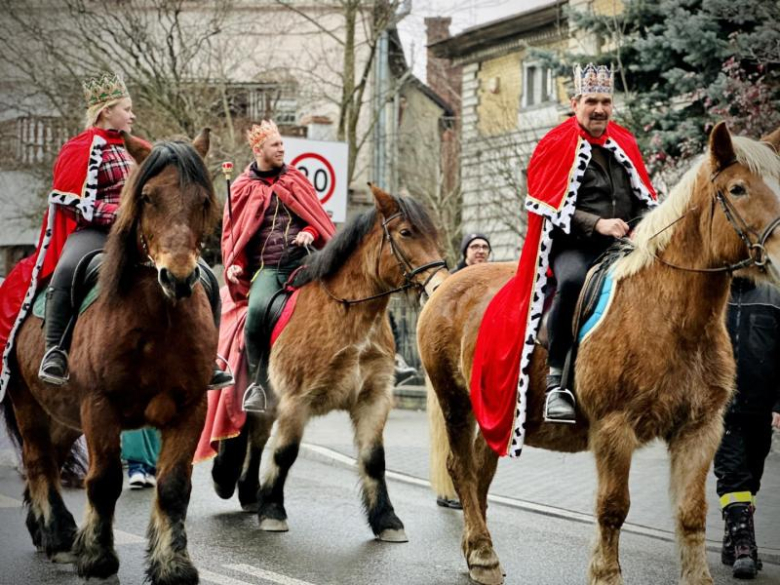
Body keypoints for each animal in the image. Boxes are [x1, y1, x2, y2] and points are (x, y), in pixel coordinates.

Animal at [1, 130, 219, 584]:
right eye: (148, 197)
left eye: (204, 199)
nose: (178, 277)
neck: (159, 322)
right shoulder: (100, 406)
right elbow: (103, 482)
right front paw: (99, 561)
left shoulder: (191, 408)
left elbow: (174, 487)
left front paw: (173, 565)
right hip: (28, 400)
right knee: (38, 459)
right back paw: (55, 535)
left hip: (65, 415)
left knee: (52, 457)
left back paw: (53, 532)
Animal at [212, 185, 450, 540]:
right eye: (406, 232)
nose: (440, 283)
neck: (347, 311)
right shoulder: (296, 401)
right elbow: (285, 453)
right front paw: (273, 510)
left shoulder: (373, 399)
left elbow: (373, 460)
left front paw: (386, 519)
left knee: (257, 437)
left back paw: (250, 492)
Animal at [420, 121, 780, 580]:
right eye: (737, 188)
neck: (669, 314)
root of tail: (446, 285)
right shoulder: (614, 427)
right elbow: (612, 507)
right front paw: (606, 573)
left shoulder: (701, 428)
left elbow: (691, 512)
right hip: (455, 400)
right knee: (461, 469)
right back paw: (483, 555)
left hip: (496, 412)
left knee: (482, 470)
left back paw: (476, 547)